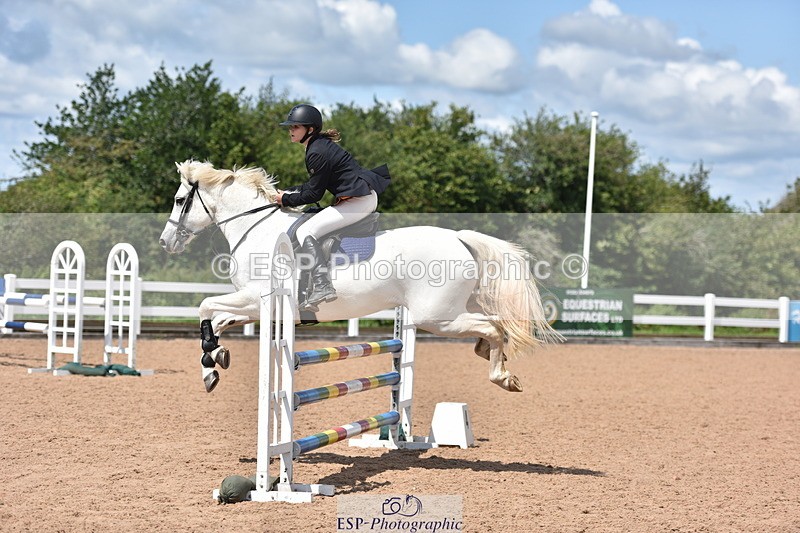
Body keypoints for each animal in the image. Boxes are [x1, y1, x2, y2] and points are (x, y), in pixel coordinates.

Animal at [159, 160, 559, 393]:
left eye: (179, 201)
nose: (166, 243)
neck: (257, 229)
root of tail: (459, 238)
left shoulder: (257, 299)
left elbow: (204, 306)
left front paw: (212, 361)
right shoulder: (255, 307)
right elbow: (216, 320)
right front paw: (213, 362)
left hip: (437, 316)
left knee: (493, 327)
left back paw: (502, 376)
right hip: (450, 309)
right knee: (494, 325)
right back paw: (496, 361)